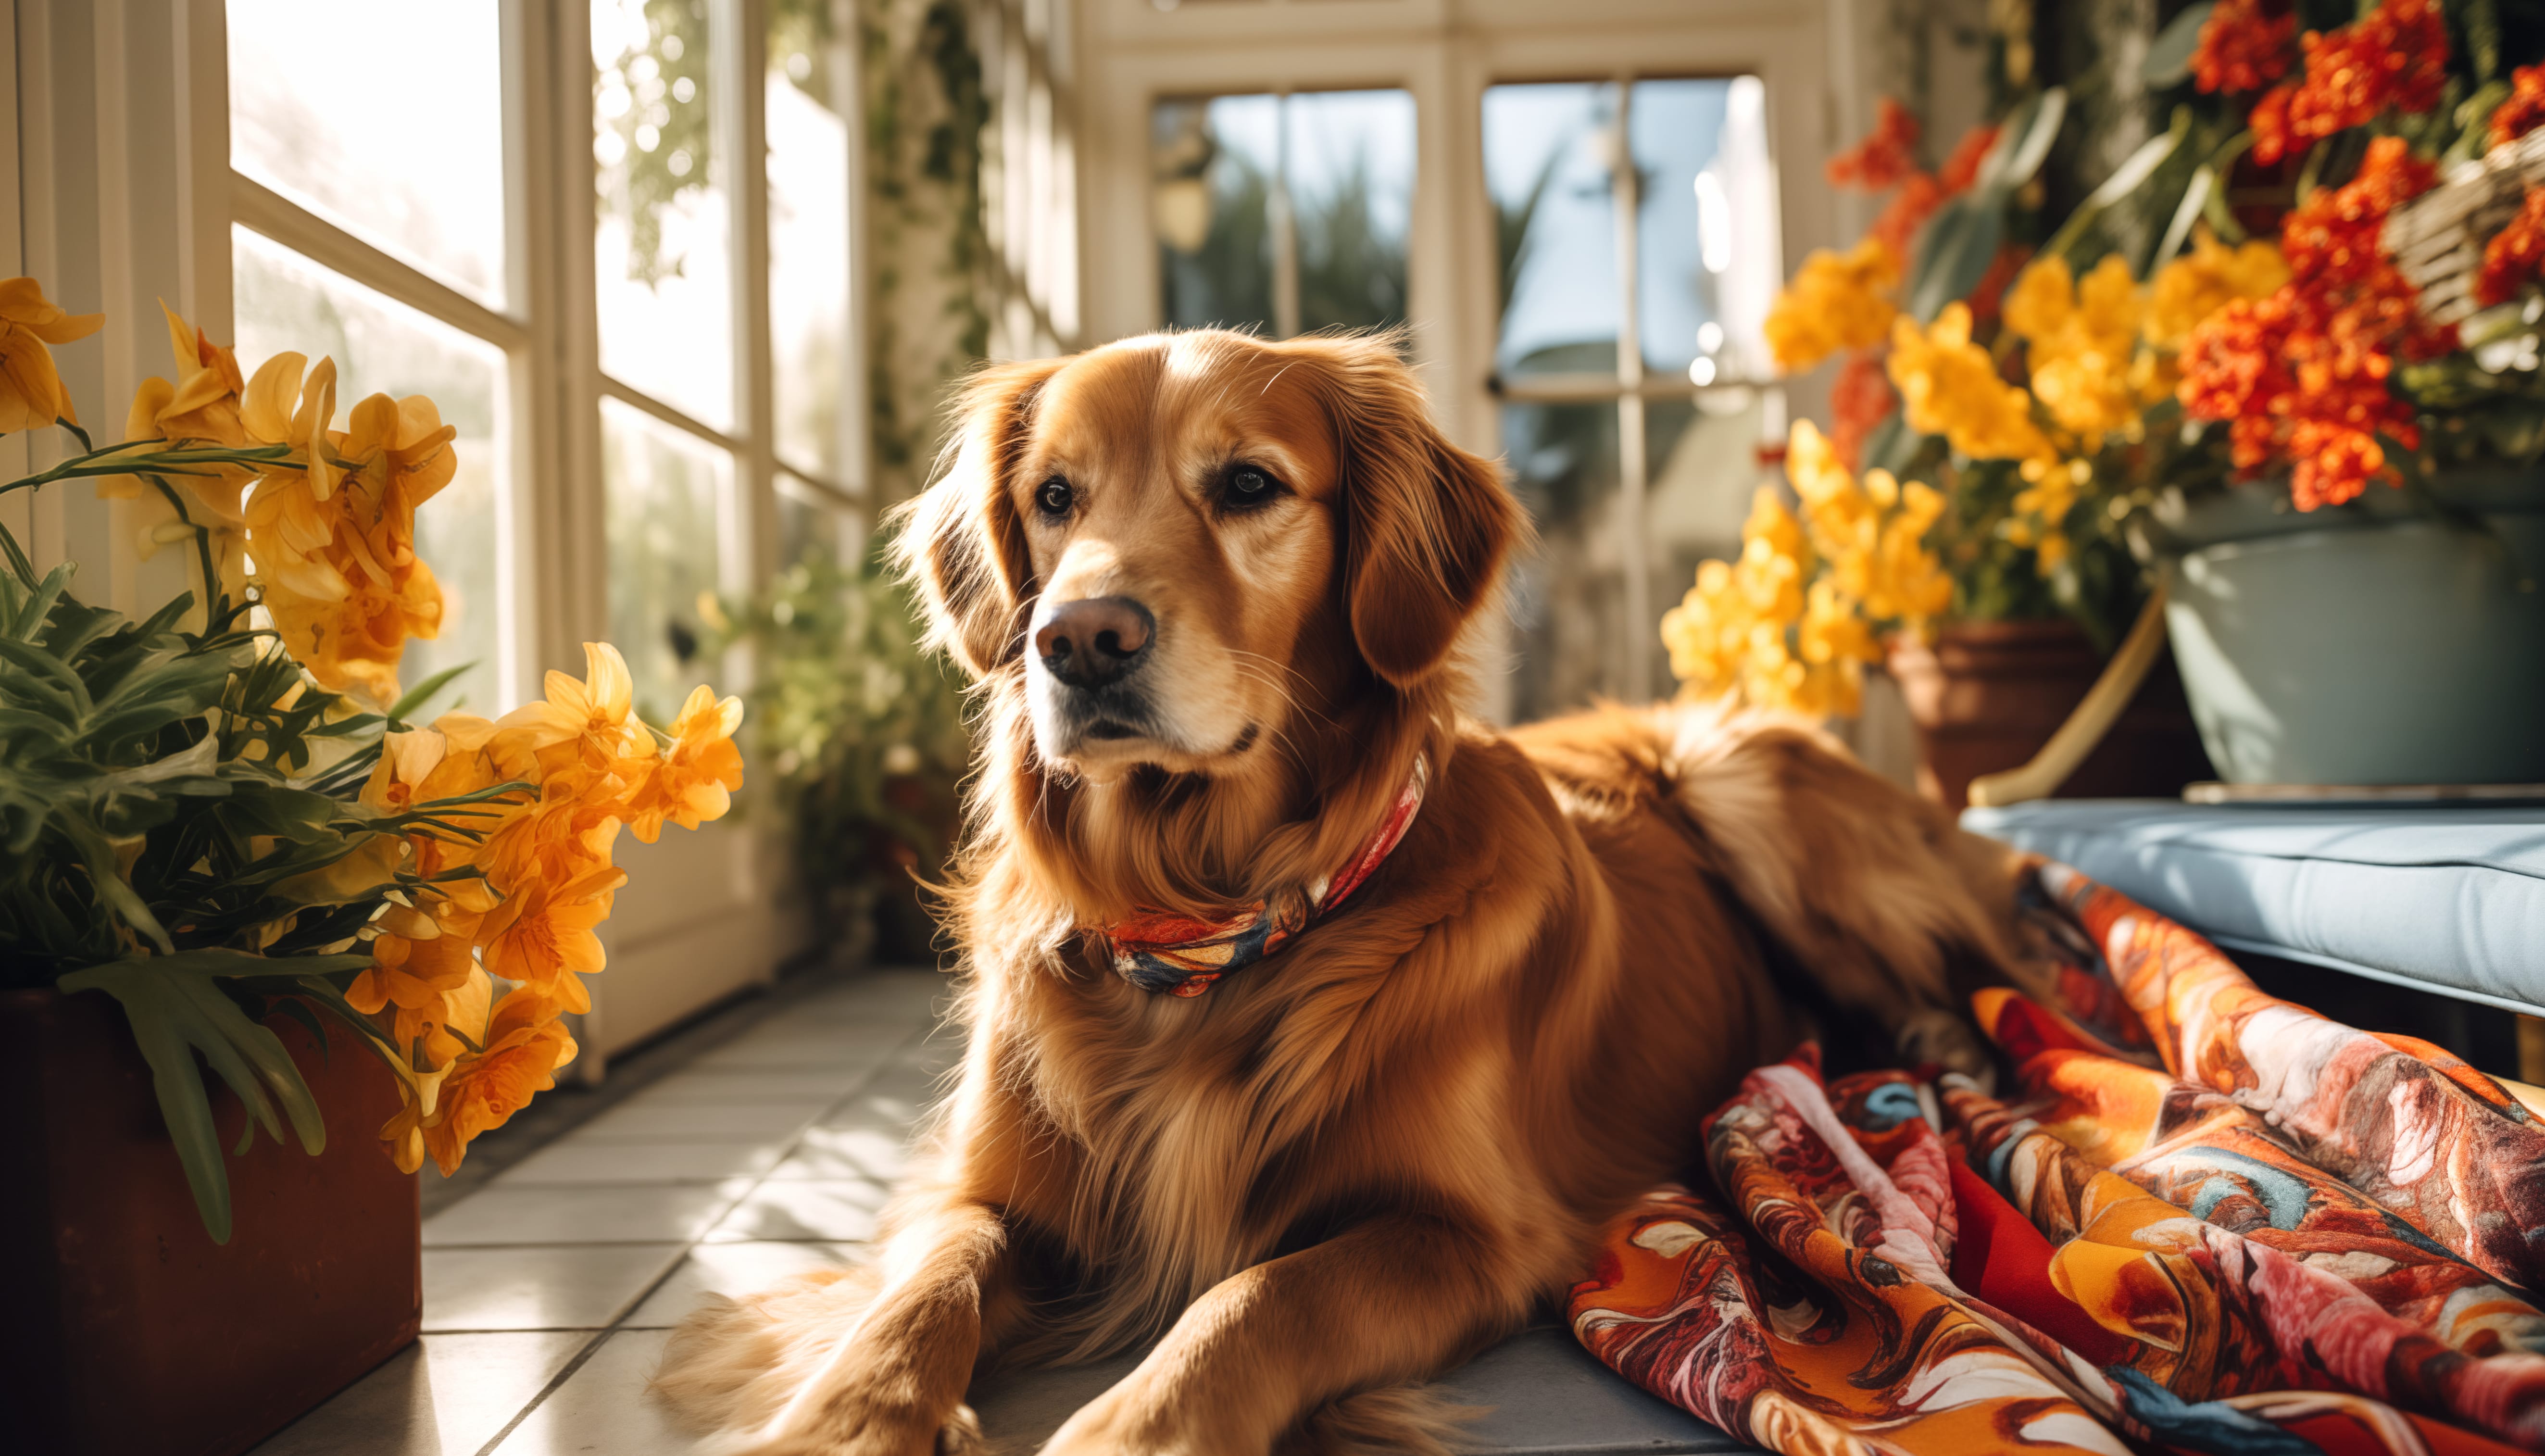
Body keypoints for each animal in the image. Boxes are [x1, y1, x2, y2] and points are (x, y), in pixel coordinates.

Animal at [662, 333, 2026, 1456]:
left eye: (1248, 485)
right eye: (1054, 498)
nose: (1079, 638)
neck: (1209, 928)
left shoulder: (1466, 1230)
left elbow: (1258, 1294)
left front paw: (1135, 1427)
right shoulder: (987, 1188)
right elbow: (921, 1286)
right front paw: (840, 1418)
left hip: (1739, 775)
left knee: (1967, 982)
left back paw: (1937, 1074)